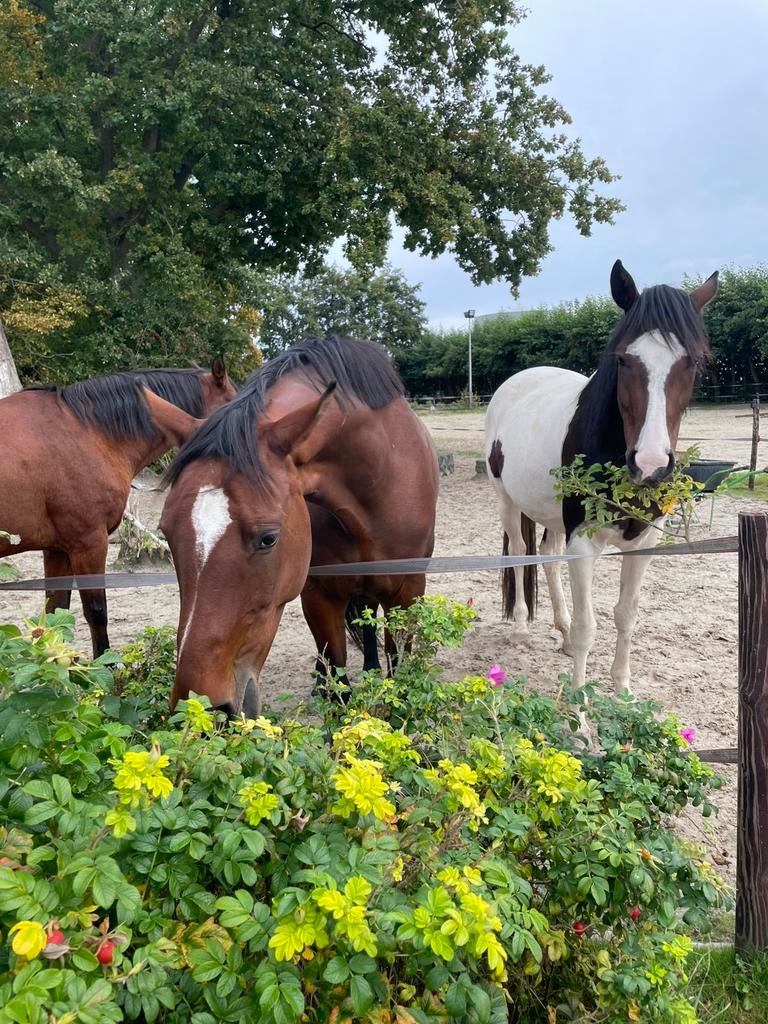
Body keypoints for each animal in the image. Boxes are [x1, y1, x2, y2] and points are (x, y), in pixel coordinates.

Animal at [160, 335, 439, 717]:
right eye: (166, 534)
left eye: (268, 538)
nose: (201, 706)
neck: (381, 475)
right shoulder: (320, 595)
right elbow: (339, 682)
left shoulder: (407, 594)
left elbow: (399, 676)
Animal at [485, 261, 719, 730]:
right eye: (624, 359)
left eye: (694, 362)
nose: (650, 464)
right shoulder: (583, 544)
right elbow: (588, 628)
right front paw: (579, 713)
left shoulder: (644, 542)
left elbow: (626, 615)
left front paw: (624, 694)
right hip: (508, 502)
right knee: (518, 553)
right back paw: (520, 627)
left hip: (552, 516)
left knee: (547, 556)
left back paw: (557, 627)